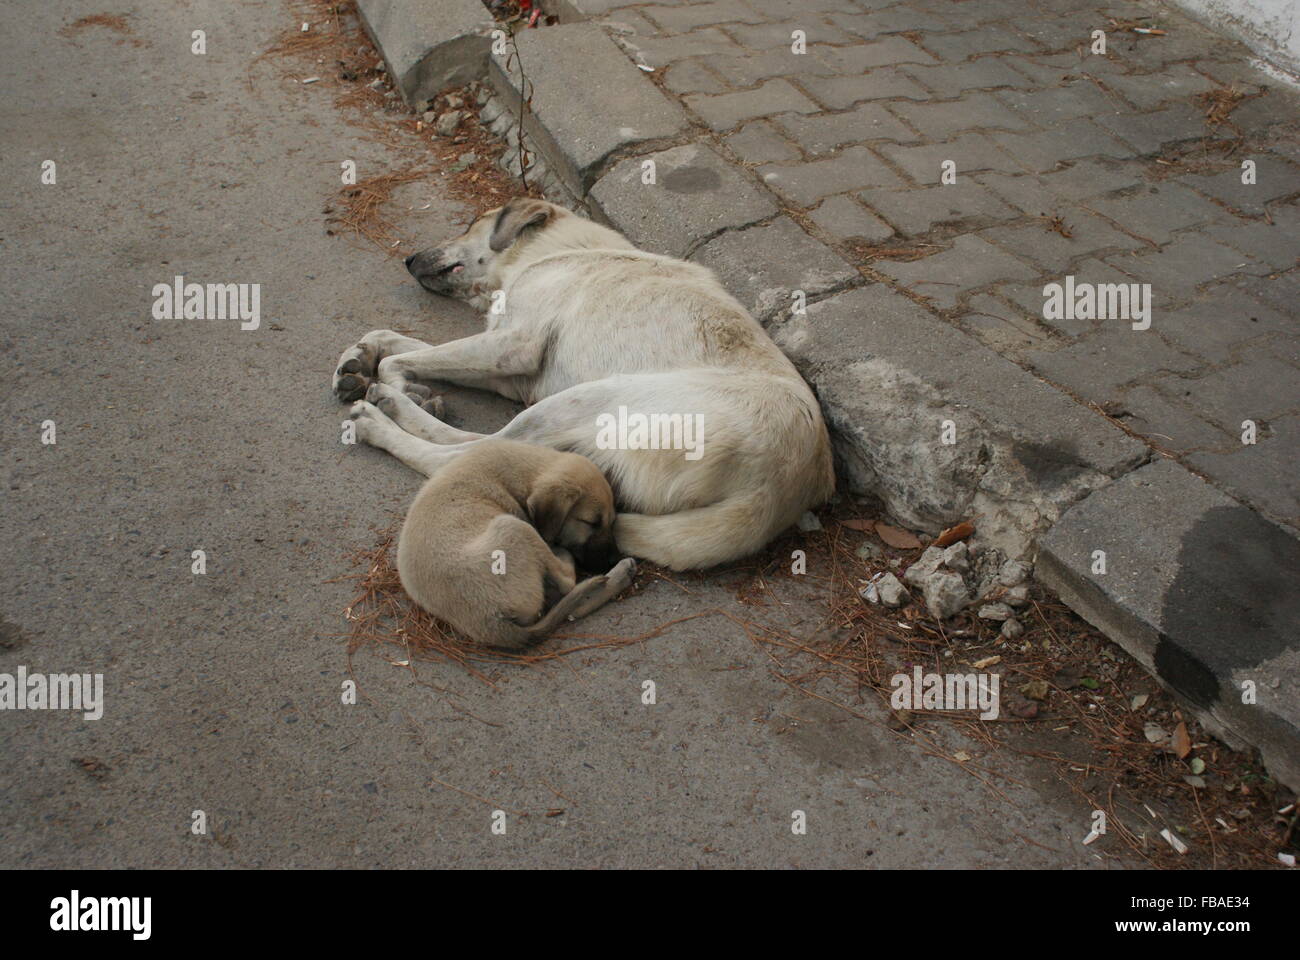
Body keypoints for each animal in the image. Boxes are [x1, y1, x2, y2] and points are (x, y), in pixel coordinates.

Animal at [335, 195, 832, 567]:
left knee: (463, 455)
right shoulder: (507, 371)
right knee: (491, 446)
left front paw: (398, 384)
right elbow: (397, 340)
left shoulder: (512, 344)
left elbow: (402, 360)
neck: (564, 249)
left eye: (470, 224)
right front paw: (359, 357)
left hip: (592, 396)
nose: (408, 258)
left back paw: (384, 417)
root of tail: (776, 491)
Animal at [397, 437, 637, 647]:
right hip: (513, 526)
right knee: (568, 585)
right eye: (591, 523)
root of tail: (488, 620)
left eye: (611, 522)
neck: (522, 472)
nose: (614, 558)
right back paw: (617, 572)